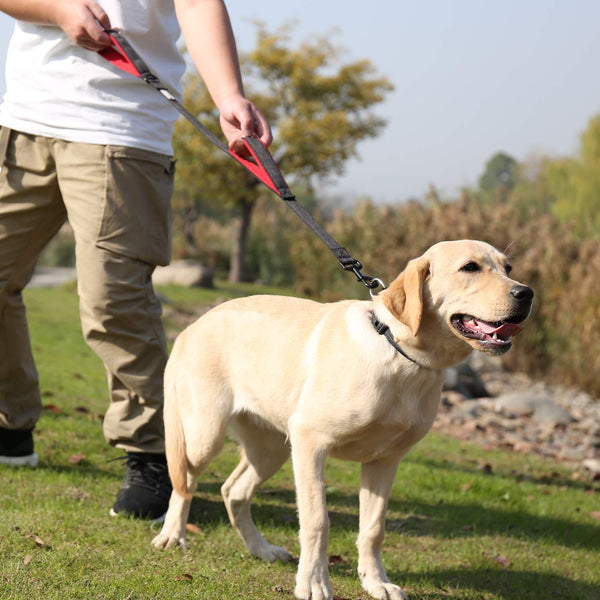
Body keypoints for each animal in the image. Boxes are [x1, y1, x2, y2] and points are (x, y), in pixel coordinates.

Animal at [152, 240, 532, 600]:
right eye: (470, 267)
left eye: (508, 268)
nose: (526, 293)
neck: (400, 357)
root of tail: (191, 326)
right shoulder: (310, 443)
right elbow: (317, 520)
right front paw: (313, 583)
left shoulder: (385, 460)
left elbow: (373, 529)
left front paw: (376, 583)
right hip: (206, 435)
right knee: (185, 480)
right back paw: (172, 534)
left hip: (272, 448)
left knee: (233, 490)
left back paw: (261, 549)